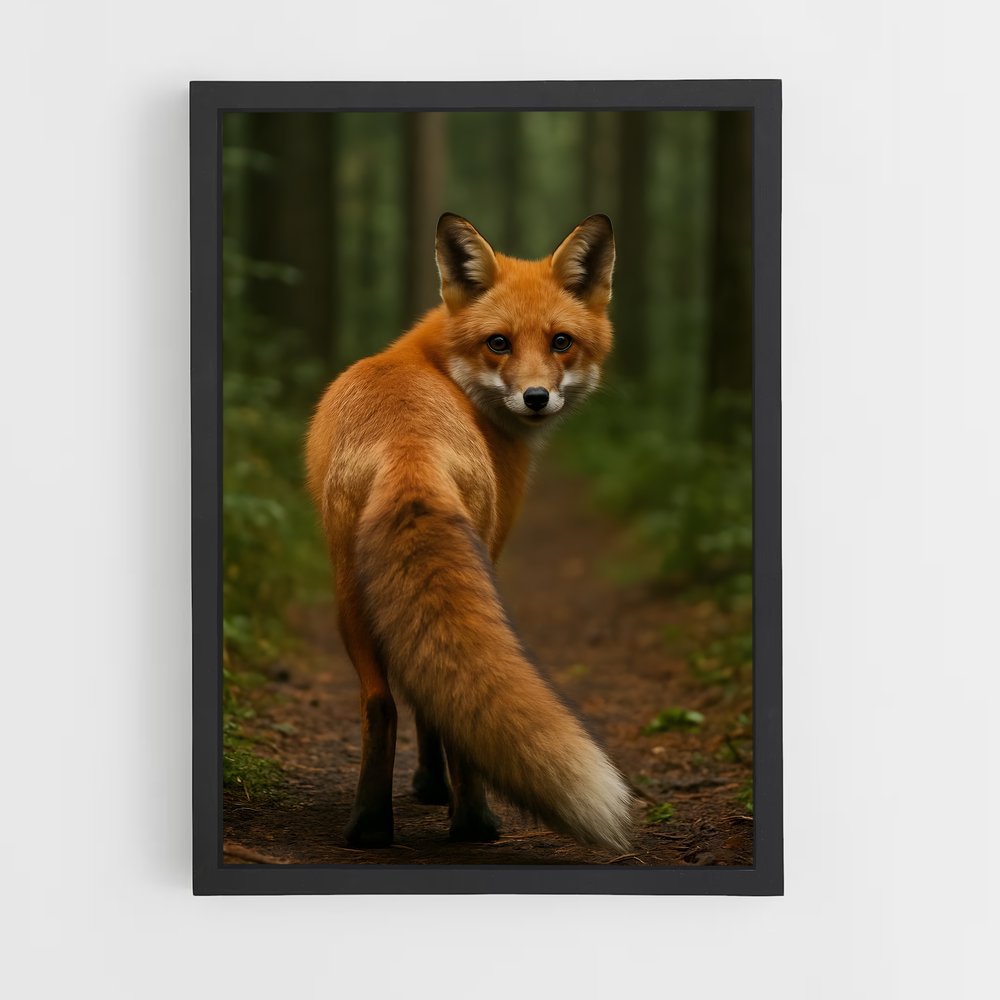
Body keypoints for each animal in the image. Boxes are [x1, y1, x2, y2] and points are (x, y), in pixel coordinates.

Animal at [305, 212, 632, 852]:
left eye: (561, 342)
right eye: (498, 342)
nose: (536, 397)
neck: (438, 369)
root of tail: (408, 448)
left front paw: (425, 787)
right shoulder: (496, 547)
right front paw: (434, 787)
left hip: (351, 597)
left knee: (381, 704)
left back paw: (370, 827)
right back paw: (473, 823)